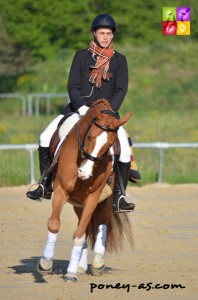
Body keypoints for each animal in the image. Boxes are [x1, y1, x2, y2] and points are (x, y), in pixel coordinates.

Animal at [36, 98, 134, 282]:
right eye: (89, 136)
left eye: (110, 144)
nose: (84, 173)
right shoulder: (61, 191)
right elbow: (54, 224)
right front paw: (45, 263)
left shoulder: (93, 197)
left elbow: (80, 234)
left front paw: (71, 273)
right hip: (77, 203)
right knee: (85, 226)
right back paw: (81, 266)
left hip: (104, 201)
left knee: (100, 223)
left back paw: (96, 264)